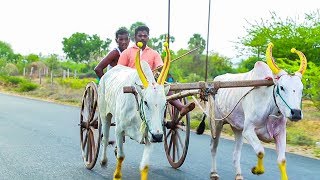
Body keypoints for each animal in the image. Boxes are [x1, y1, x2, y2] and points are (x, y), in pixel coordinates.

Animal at [98, 42, 171, 180]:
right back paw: (103, 160)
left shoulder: (150, 135)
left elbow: (145, 166)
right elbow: (121, 156)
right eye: (146, 102)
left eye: (165, 103)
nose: (159, 136)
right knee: (104, 138)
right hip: (104, 114)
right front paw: (117, 175)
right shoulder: (119, 130)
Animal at [210, 42, 308, 180]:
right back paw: (214, 172)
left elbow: (282, 160)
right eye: (282, 87)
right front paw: (256, 170)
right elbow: (261, 151)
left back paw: (238, 174)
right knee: (214, 147)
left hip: (238, 129)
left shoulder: (280, 133)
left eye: (301, 89)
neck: (271, 109)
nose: (296, 113)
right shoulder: (249, 130)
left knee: (236, 153)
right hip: (217, 122)